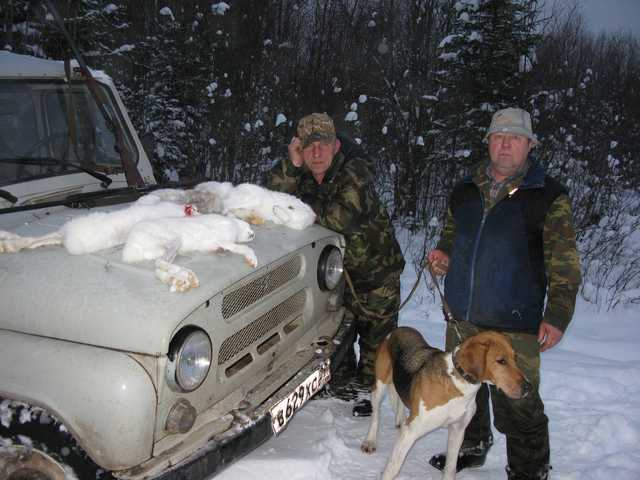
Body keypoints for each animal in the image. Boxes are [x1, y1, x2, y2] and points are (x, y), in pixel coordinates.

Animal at [360, 326, 528, 480]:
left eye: (515, 358)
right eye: (501, 361)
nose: (528, 387)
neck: (459, 381)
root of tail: (398, 329)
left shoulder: (458, 430)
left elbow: (451, 468)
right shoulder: (411, 431)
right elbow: (392, 468)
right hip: (379, 386)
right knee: (376, 414)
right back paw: (370, 441)